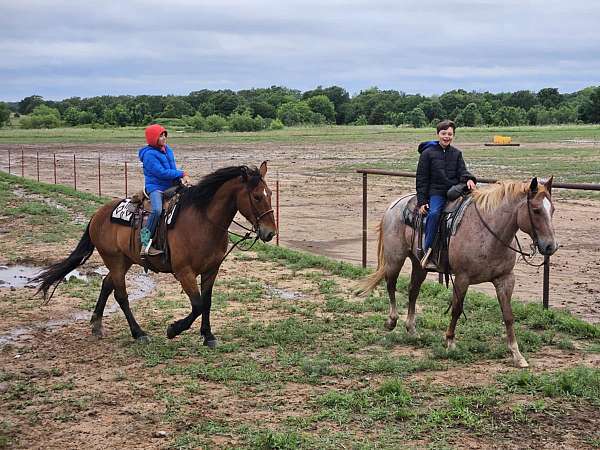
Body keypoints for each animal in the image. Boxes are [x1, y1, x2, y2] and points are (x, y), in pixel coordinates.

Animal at [32, 162, 276, 348]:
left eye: (271, 194)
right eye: (256, 197)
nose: (270, 232)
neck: (203, 220)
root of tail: (98, 215)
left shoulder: (211, 270)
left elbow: (206, 302)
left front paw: (208, 336)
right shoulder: (184, 272)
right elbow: (197, 305)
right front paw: (173, 329)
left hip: (124, 261)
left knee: (107, 284)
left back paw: (96, 325)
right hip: (115, 261)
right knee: (121, 295)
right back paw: (138, 333)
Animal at [360, 178, 564, 368]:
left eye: (553, 209)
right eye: (536, 210)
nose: (551, 246)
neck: (489, 234)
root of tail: (394, 204)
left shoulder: (505, 279)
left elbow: (508, 316)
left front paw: (517, 354)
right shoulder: (462, 278)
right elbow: (457, 309)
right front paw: (450, 342)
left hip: (419, 264)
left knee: (413, 291)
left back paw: (412, 329)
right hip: (395, 258)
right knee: (391, 285)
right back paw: (391, 321)